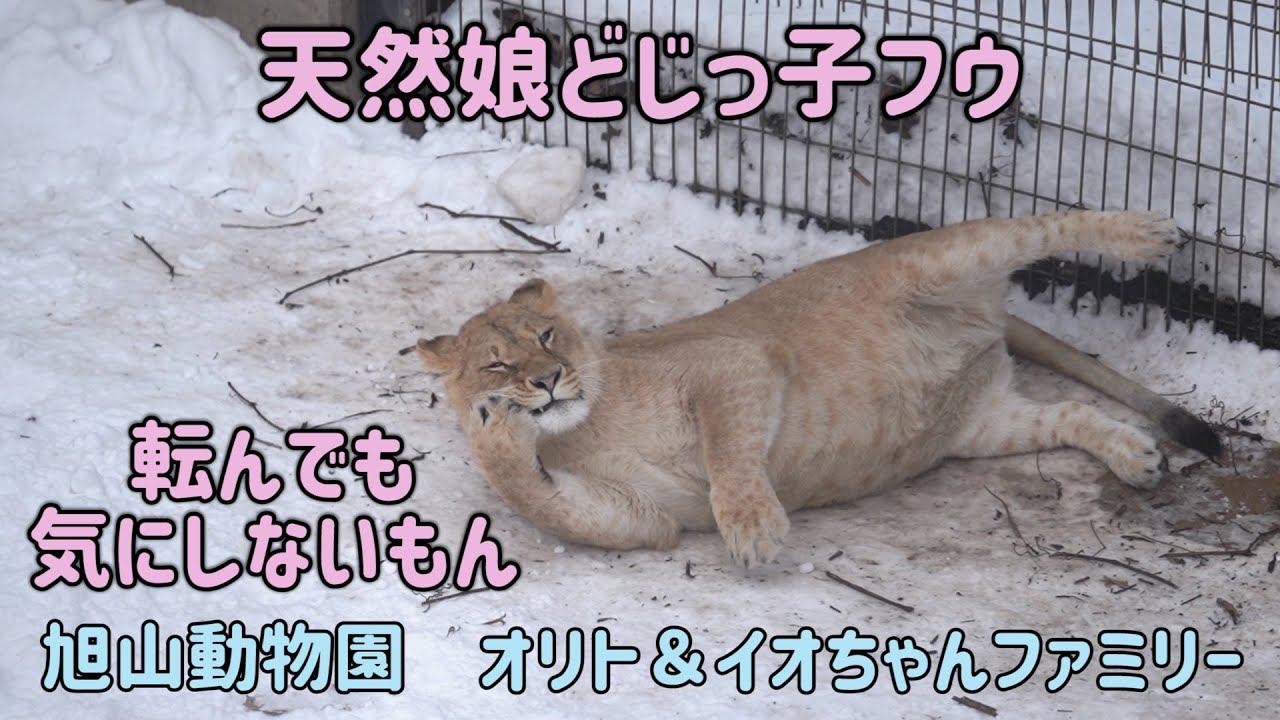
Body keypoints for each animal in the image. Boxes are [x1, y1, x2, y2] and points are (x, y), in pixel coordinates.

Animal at [416, 210, 1221, 567]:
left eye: (548, 337)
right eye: (496, 363)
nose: (548, 380)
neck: (581, 427)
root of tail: (989, 324)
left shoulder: (733, 362)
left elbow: (728, 449)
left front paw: (754, 527)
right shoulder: (645, 518)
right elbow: (552, 502)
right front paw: (493, 429)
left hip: (941, 256)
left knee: (1037, 224)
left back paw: (1148, 234)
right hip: (984, 424)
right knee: (1073, 412)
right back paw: (1136, 457)